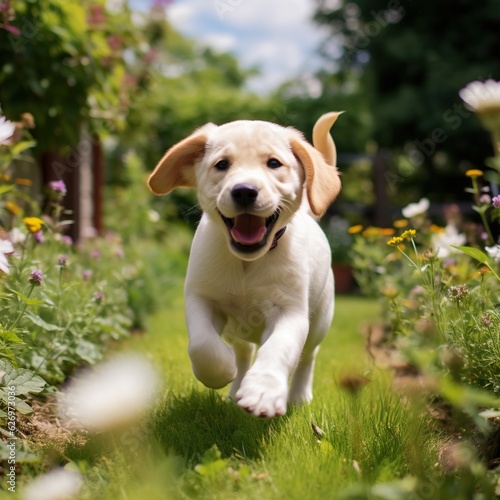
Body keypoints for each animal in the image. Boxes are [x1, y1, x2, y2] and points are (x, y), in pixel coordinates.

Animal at [148, 113, 342, 418]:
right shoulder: (200, 299)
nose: (244, 191)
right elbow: (202, 345)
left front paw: (264, 391)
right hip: (237, 330)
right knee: (243, 352)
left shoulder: (291, 312)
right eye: (222, 164)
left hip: (320, 319)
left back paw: (299, 396)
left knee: (307, 357)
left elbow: (278, 349)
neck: (247, 262)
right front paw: (221, 371)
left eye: (273, 163)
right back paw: (235, 386)